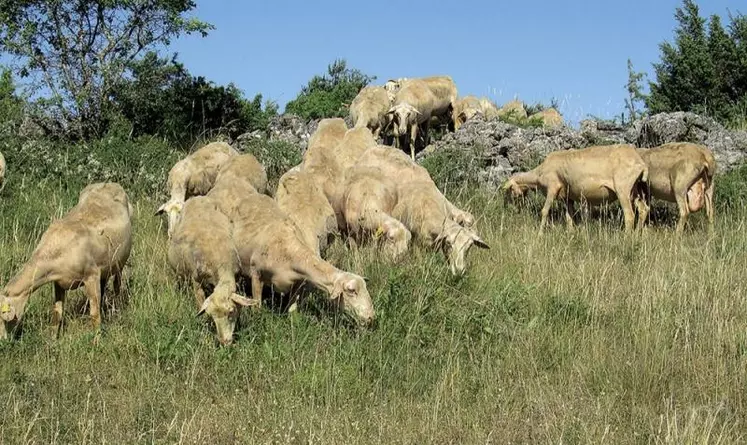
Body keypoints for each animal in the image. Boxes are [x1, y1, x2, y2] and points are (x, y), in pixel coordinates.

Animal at [0, 182, 133, 338]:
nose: (3, 341)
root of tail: (110, 183)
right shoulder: (58, 282)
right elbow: (57, 313)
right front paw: (52, 339)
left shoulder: (91, 275)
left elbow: (94, 315)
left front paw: (96, 340)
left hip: (121, 261)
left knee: (117, 285)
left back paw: (116, 309)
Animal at [232, 193, 374, 324]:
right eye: (351, 291)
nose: (371, 317)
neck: (291, 251)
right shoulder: (256, 274)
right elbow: (257, 306)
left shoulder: (298, 283)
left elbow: (292, 310)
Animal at [502, 144, 648, 231]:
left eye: (510, 190)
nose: (511, 208)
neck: (538, 174)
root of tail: (641, 163)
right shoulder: (567, 197)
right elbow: (569, 217)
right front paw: (570, 233)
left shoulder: (552, 187)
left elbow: (544, 211)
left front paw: (540, 233)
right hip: (634, 190)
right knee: (643, 209)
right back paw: (637, 234)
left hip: (622, 188)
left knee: (629, 215)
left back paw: (626, 237)